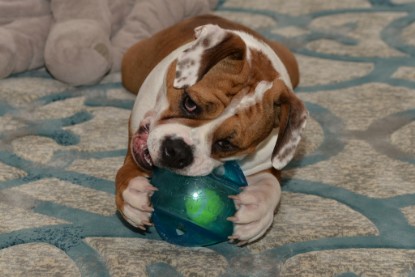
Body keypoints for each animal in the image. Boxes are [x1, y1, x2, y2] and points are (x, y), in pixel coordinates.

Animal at [115, 15, 308, 244]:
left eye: (225, 144)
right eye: (190, 103)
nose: (177, 151)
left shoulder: (266, 164)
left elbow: (271, 184)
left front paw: (255, 210)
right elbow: (128, 169)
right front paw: (133, 193)